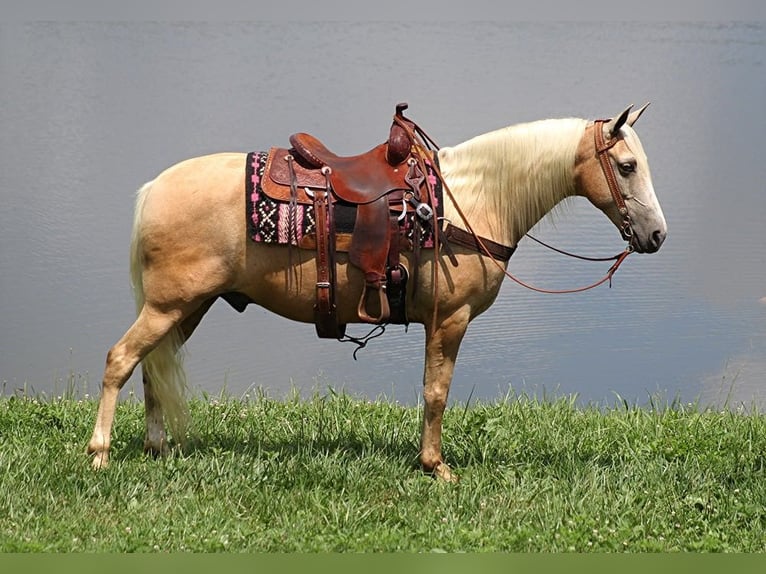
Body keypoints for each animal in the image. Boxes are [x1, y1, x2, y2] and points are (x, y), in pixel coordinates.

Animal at [87, 104, 668, 482]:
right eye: (627, 166)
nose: (657, 235)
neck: (470, 203)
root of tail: (153, 189)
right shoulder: (449, 318)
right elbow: (436, 392)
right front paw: (436, 467)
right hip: (169, 306)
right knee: (120, 360)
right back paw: (99, 453)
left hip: (186, 308)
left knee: (151, 368)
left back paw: (156, 447)